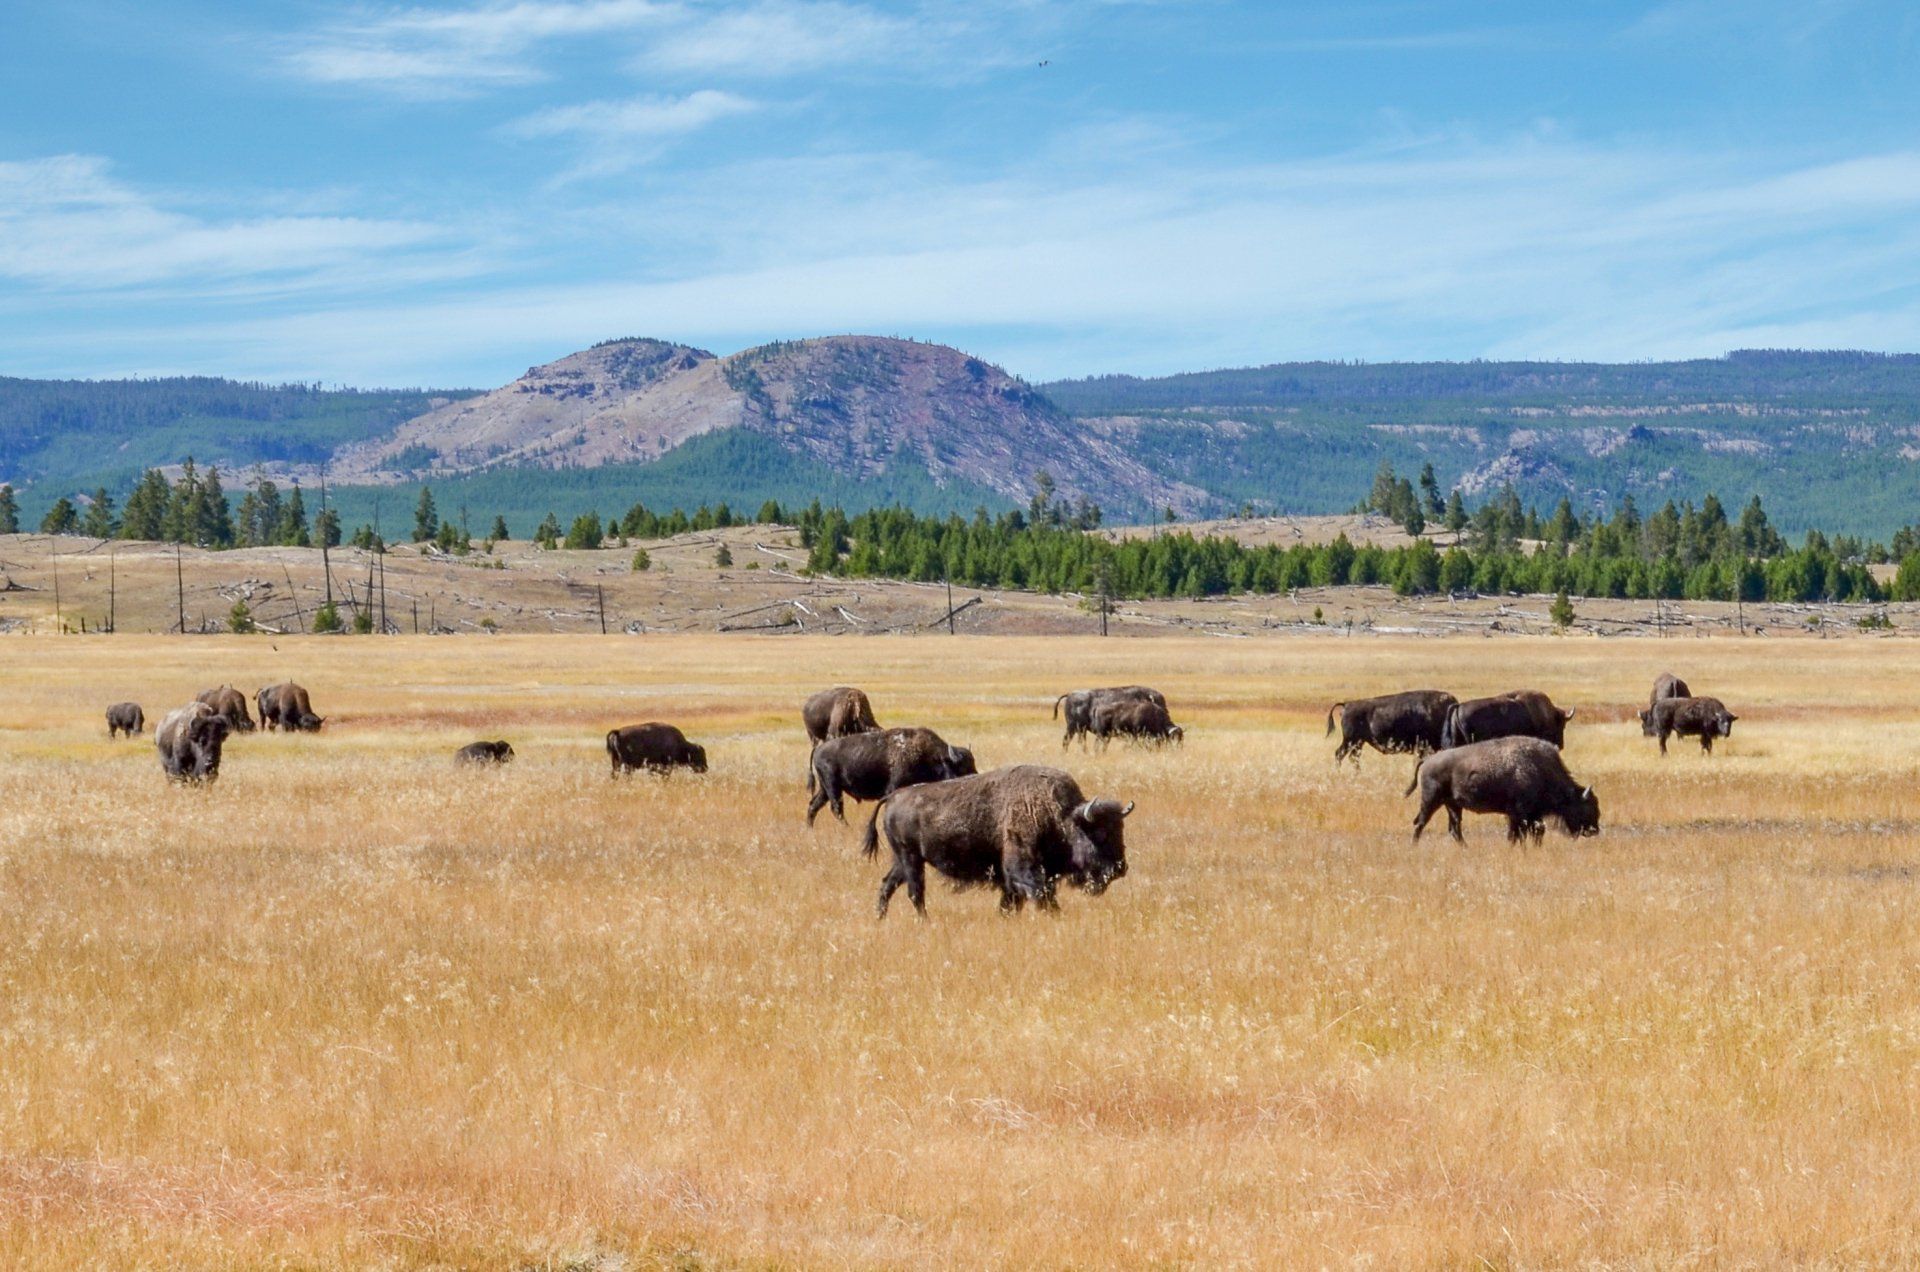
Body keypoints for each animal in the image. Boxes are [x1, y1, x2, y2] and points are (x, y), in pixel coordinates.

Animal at [806, 726, 977, 845]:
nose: (974, 778)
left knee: (814, 805)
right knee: (836, 808)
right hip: (832, 786)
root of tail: (819, 748)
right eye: (962, 768)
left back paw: (809, 829)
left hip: (825, 789)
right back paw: (847, 829)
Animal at [874, 764, 1133, 917]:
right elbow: (1040, 895)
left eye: (1120, 831)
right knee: (915, 891)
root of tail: (894, 796)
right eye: (1099, 834)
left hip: (904, 859)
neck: (1061, 816)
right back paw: (923, 920)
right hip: (911, 859)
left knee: (888, 884)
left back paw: (880, 917)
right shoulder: (1023, 869)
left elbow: (1012, 901)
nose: (1120, 868)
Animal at [1408, 736, 1600, 845]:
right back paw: (1414, 846)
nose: (1594, 831)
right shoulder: (1517, 814)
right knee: (1420, 823)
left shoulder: (1531, 815)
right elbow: (1516, 835)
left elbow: (1534, 833)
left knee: (1454, 829)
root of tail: (1427, 761)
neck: (1541, 769)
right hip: (1431, 801)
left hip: (1453, 805)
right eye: (1586, 808)